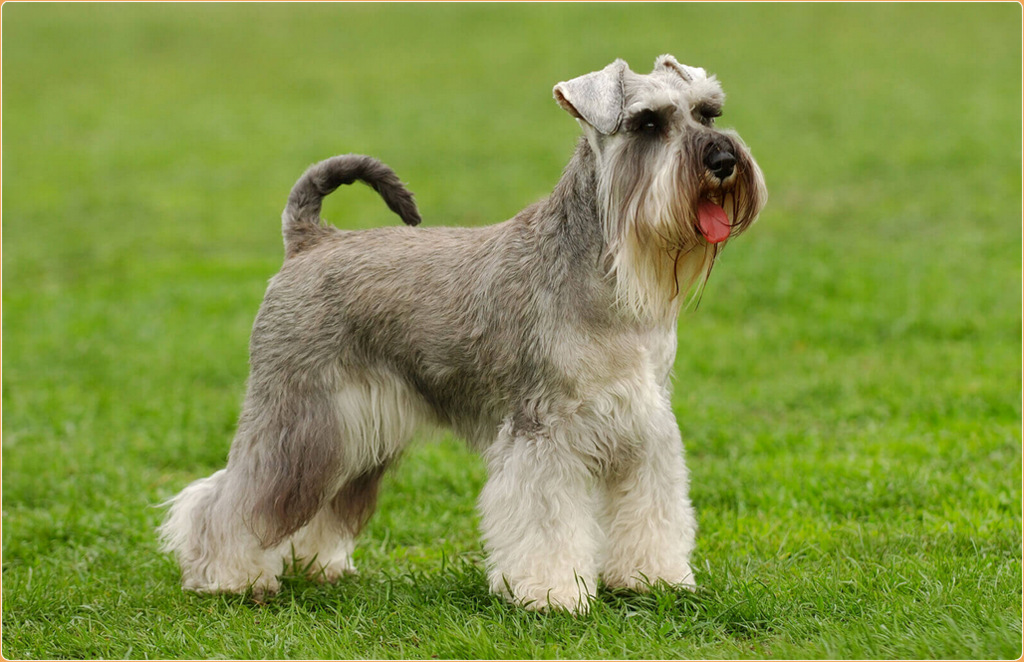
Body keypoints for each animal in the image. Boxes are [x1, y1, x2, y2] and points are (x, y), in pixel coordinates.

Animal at [159, 55, 765, 618]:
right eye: (647, 123)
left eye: (707, 112)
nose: (723, 160)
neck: (605, 274)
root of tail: (310, 240)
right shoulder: (544, 433)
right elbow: (548, 522)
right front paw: (552, 594)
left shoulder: (644, 428)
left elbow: (652, 509)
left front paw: (652, 579)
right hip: (302, 420)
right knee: (232, 500)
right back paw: (228, 576)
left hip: (356, 434)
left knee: (324, 504)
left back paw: (316, 565)